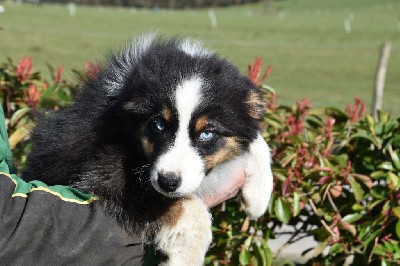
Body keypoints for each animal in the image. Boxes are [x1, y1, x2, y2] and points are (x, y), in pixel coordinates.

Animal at [23, 34, 274, 264]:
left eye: (206, 134)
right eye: (158, 125)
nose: (168, 182)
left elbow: (255, 137)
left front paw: (259, 194)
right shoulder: (107, 181)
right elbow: (191, 209)